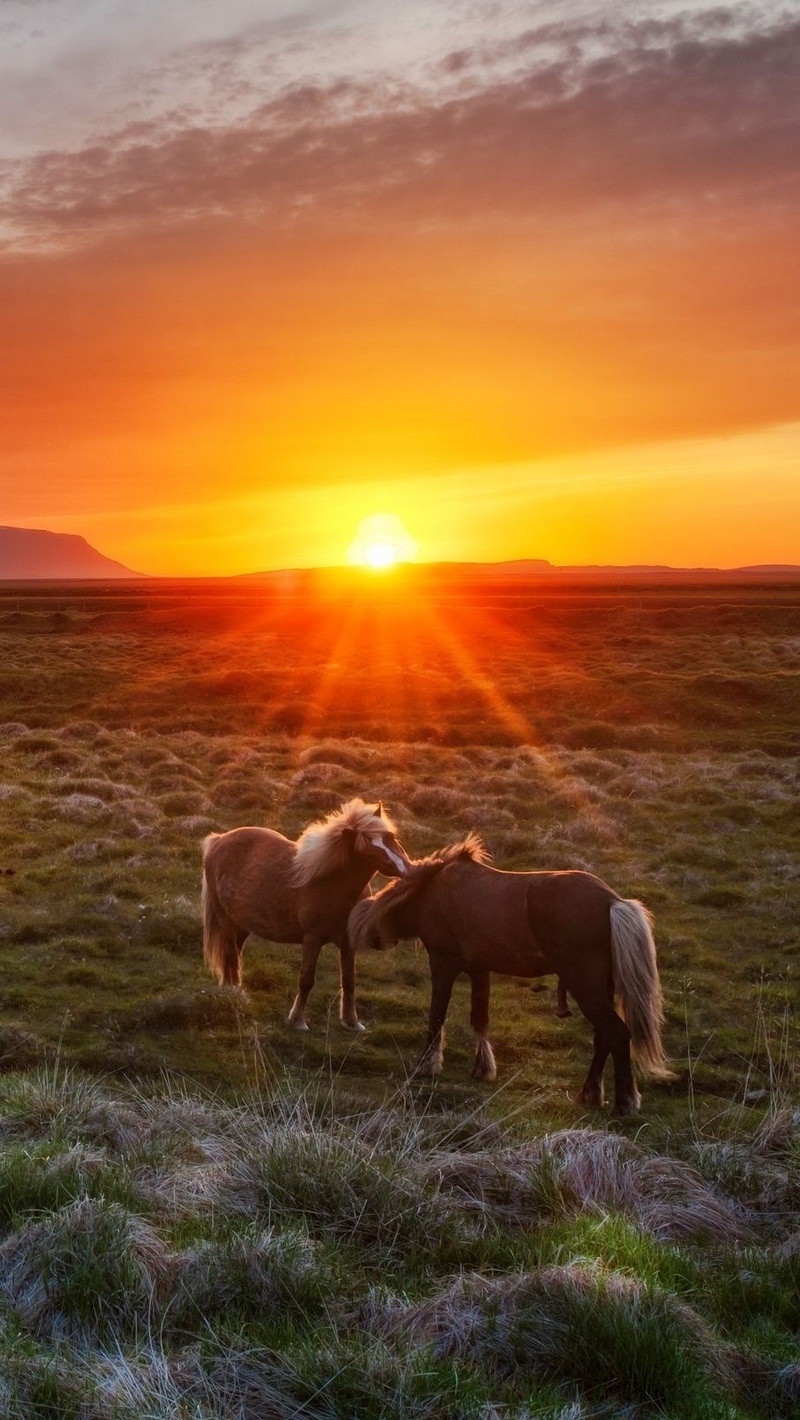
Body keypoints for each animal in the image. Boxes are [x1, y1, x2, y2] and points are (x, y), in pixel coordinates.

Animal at [200, 800, 412, 1033]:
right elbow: (306, 979)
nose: (408, 871)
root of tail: (218, 840)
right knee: (230, 956)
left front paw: (352, 1022)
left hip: (241, 925)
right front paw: (297, 1020)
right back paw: (235, 996)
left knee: (234, 957)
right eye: (369, 852)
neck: (332, 883)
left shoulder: (348, 943)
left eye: (390, 837)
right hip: (226, 921)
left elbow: (349, 981)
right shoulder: (312, 938)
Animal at [352, 834, 676, 1113]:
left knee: (617, 1033)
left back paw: (624, 1102)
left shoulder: (443, 964)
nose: (374, 939)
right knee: (603, 1037)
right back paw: (590, 1094)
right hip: (601, 988)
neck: (431, 892)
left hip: (584, 986)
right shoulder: (480, 969)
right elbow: (480, 1020)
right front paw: (483, 1067)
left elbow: (437, 1018)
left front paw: (426, 1066)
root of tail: (612, 902)